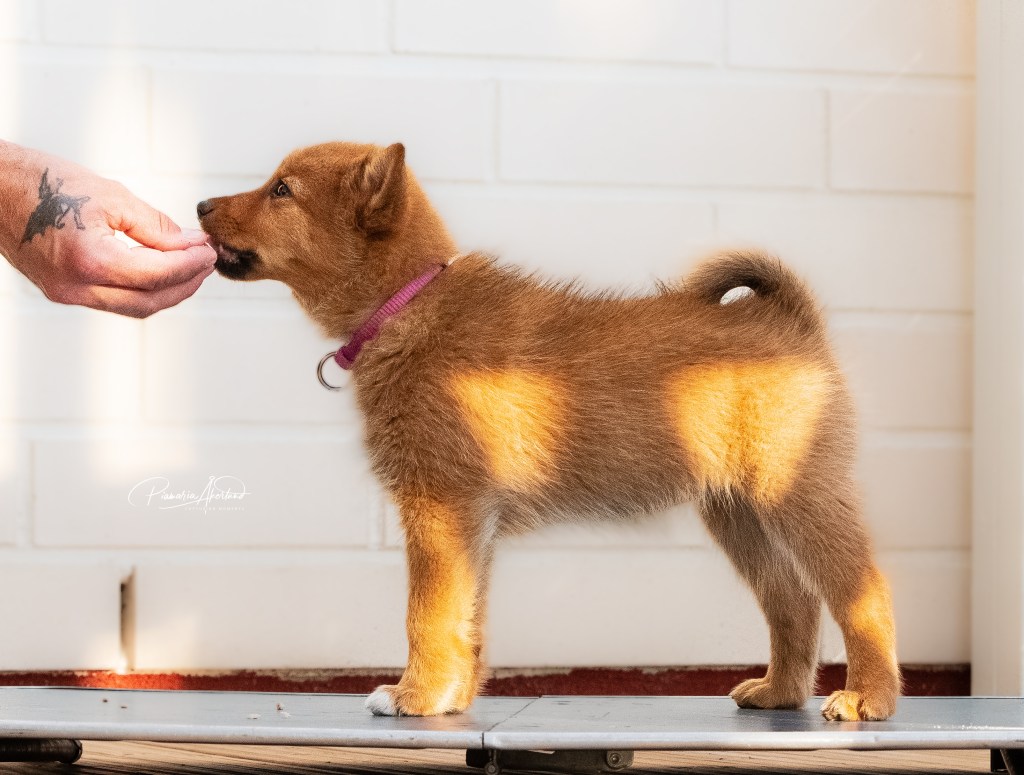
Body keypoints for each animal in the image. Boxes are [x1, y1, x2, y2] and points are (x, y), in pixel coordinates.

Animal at [198, 141, 900, 722]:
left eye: (281, 190)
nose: (200, 204)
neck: (409, 303)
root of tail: (791, 321)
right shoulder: (468, 521)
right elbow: (465, 618)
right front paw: (451, 696)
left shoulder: (438, 507)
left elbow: (426, 615)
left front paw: (414, 695)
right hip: (739, 513)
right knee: (793, 600)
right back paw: (780, 691)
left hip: (798, 496)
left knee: (862, 592)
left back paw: (869, 695)